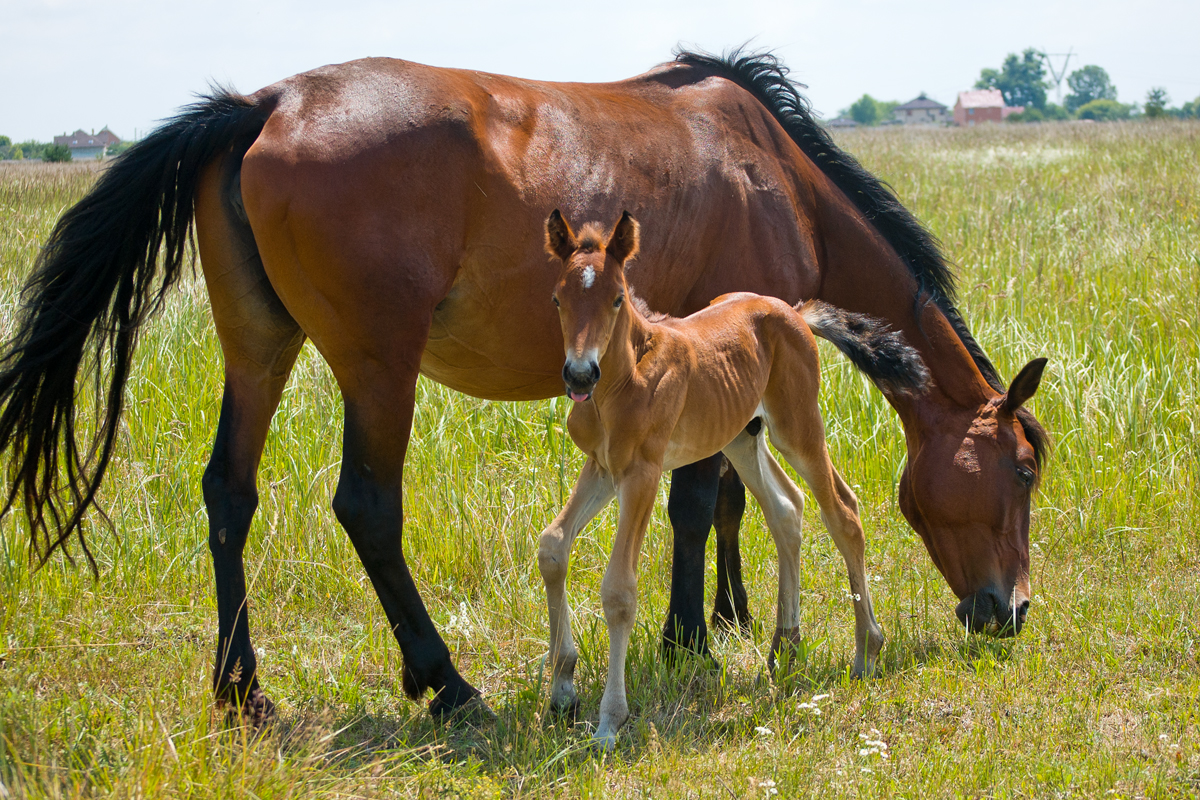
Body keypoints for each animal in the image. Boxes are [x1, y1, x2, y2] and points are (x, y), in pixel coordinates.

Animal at [540, 209, 931, 748]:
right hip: (742, 437)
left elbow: (619, 589)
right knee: (787, 507)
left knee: (843, 511)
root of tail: (794, 311)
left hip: (797, 427)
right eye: (558, 299)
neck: (626, 375)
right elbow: (552, 546)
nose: (579, 376)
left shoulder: (641, 472)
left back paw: (866, 652)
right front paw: (562, 689)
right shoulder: (601, 468)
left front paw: (608, 723)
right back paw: (784, 649)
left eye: (616, 298)